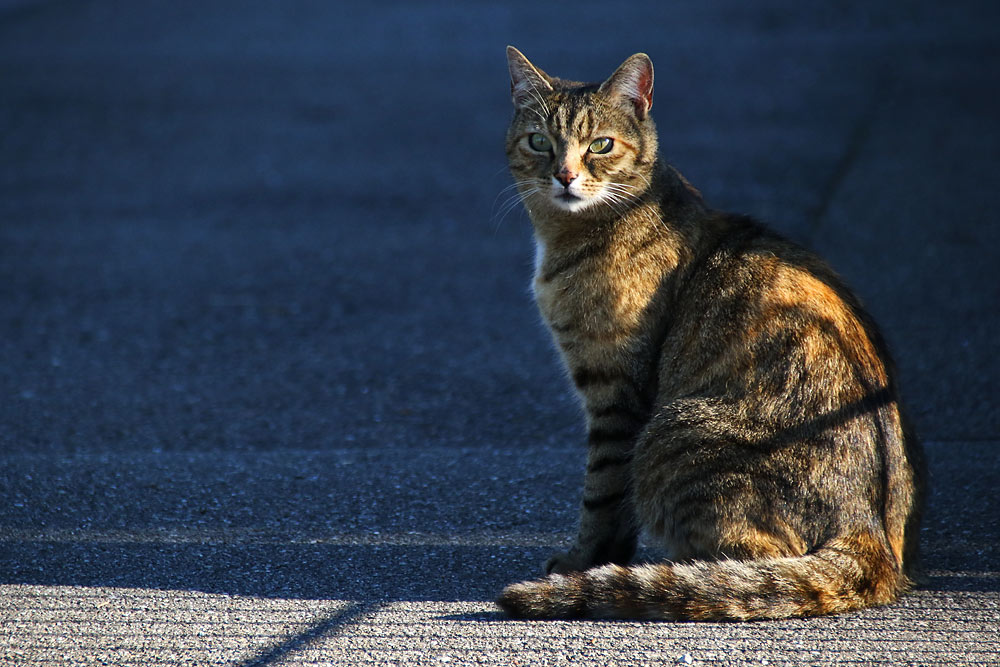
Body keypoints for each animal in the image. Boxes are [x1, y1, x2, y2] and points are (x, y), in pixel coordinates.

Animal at [496, 47, 924, 620]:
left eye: (600, 145)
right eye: (539, 141)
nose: (564, 175)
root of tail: (872, 536)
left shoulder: (616, 393)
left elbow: (602, 493)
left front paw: (583, 562)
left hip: (671, 434)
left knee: (756, 564)